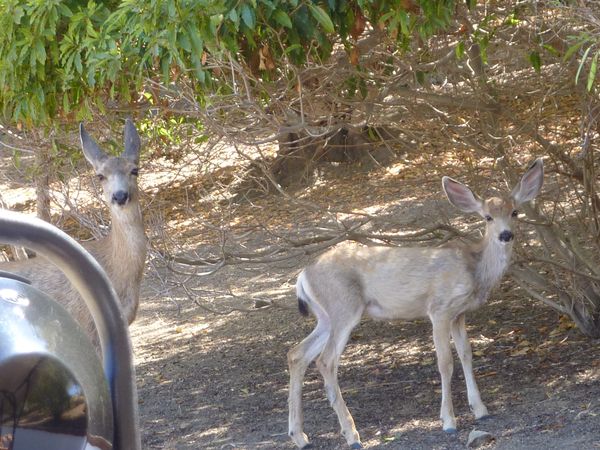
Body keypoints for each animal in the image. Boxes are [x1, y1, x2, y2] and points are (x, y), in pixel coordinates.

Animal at [288, 158, 548, 446]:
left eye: (515, 212)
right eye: (488, 217)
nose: (505, 235)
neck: (475, 269)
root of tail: (303, 275)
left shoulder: (460, 314)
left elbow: (466, 354)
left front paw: (481, 409)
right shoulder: (439, 308)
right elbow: (445, 362)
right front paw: (448, 421)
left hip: (326, 316)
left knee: (297, 354)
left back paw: (300, 436)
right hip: (344, 307)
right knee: (325, 361)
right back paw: (352, 435)